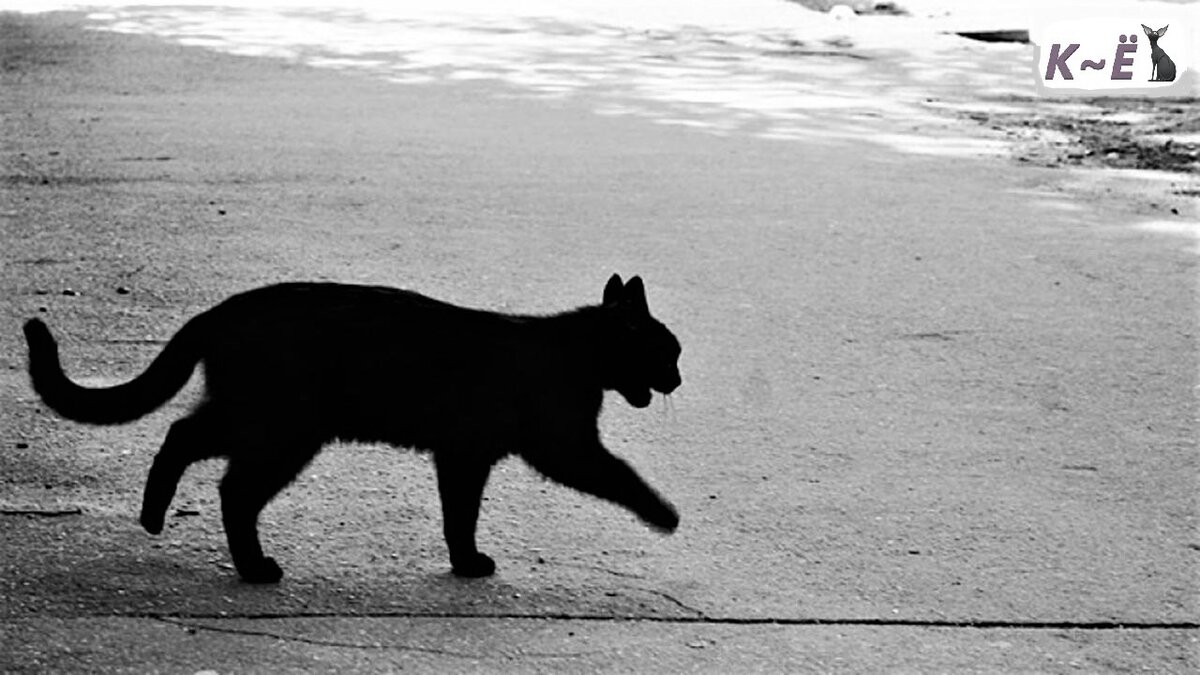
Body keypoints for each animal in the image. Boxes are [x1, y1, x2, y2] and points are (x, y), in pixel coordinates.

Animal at [21, 271, 686, 578]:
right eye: (667, 352)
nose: (679, 380)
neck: (575, 354)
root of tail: (221, 309)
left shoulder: (465, 455)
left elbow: (459, 514)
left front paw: (465, 561)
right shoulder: (562, 446)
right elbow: (621, 474)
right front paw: (664, 514)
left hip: (254, 418)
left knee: (182, 438)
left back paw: (155, 518)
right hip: (283, 429)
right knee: (231, 487)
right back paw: (252, 568)